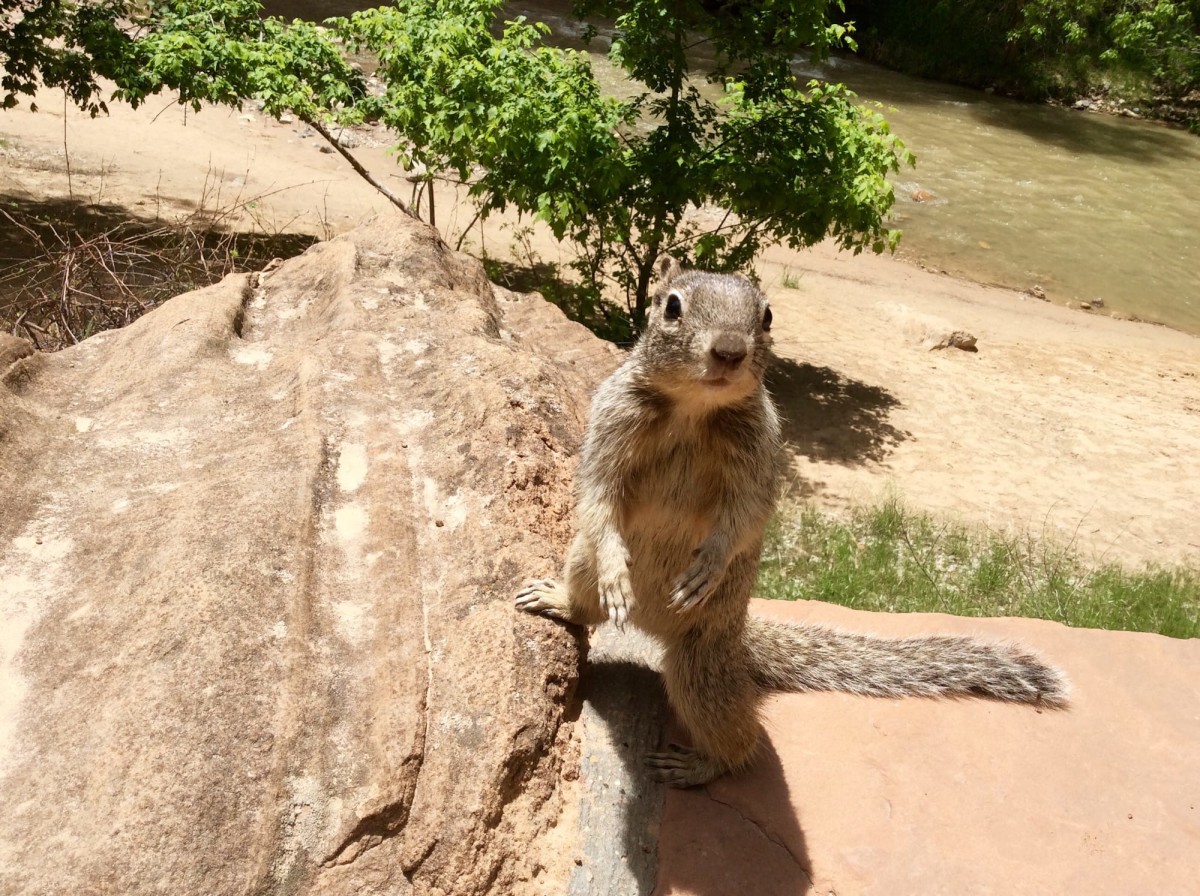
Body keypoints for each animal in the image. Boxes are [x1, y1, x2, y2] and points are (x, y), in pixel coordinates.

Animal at [518, 255, 1070, 786]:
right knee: (588, 608)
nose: (730, 350)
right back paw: (560, 599)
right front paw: (617, 571)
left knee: (740, 740)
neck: (694, 409)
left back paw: (698, 766)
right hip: (580, 560)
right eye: (671, 306)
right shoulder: (610, 426)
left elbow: (747, 515)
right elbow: (597, 495)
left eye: (767, 315)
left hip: (701, 668)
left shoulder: (759, 455)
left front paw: (708, 567)